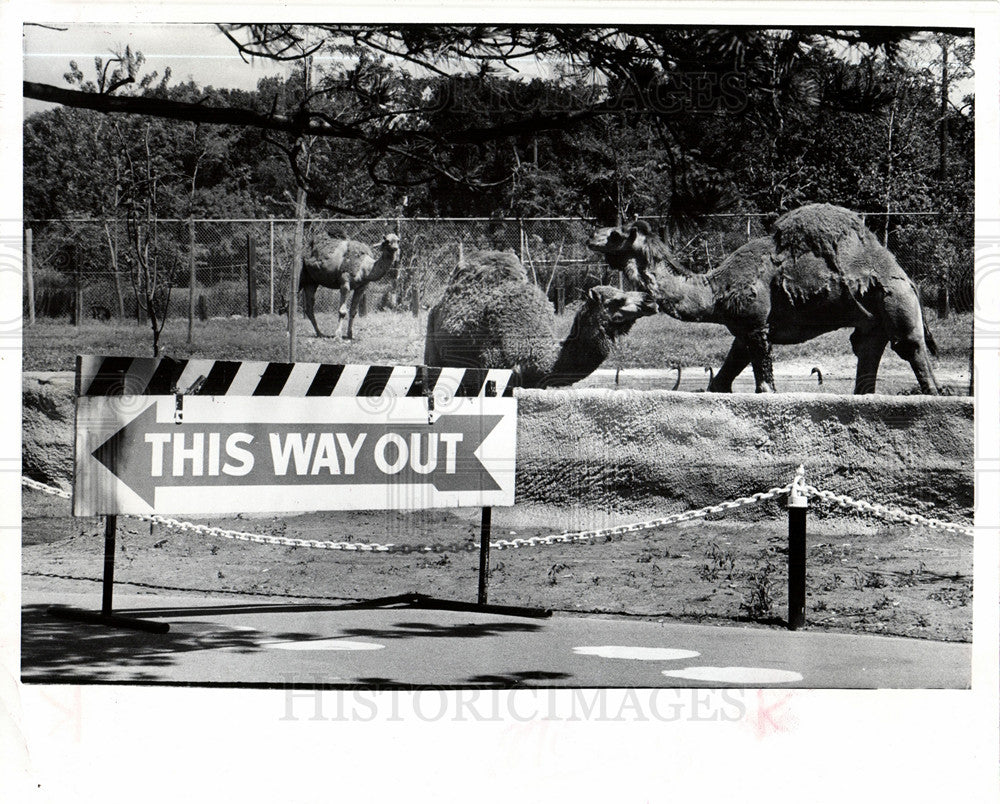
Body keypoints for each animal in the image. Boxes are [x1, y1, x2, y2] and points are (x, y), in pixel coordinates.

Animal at [584, 204, 936, 396]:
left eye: (615, 234)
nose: (590, 236)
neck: (714, 291)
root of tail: (906, 276)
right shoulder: (742, 333)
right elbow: (719, 383)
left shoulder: (756, 326)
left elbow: (765, 387)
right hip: (871, 320)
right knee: (867, 350)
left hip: (894, 299)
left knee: (911, 346)